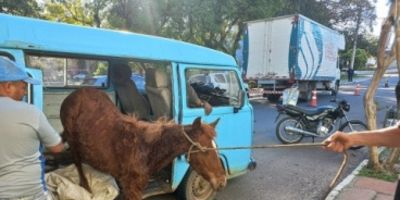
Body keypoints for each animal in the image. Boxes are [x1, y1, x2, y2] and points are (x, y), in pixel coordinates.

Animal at [60, 88, 227, 199]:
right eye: (205, 150)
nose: (222, 181)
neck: (147, 148)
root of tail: (75, 93)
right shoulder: (131, 187)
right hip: (72, 141)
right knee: (77, 162)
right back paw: (85, 186)